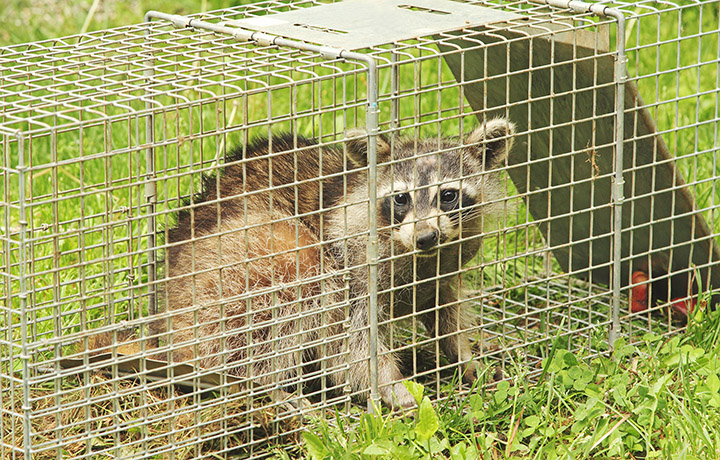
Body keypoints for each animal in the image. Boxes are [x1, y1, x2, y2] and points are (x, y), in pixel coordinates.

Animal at [161, 119, 514, 409]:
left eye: (448, 195)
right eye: (401, 199)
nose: (426, 237)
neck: (416, 256)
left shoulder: (445, 265)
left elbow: (446, 310)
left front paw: (464, 356)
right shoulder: (353, 267)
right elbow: (350, 346)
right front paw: (391, 386)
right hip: (234, 267)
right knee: (295, 277)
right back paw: (266, 386)